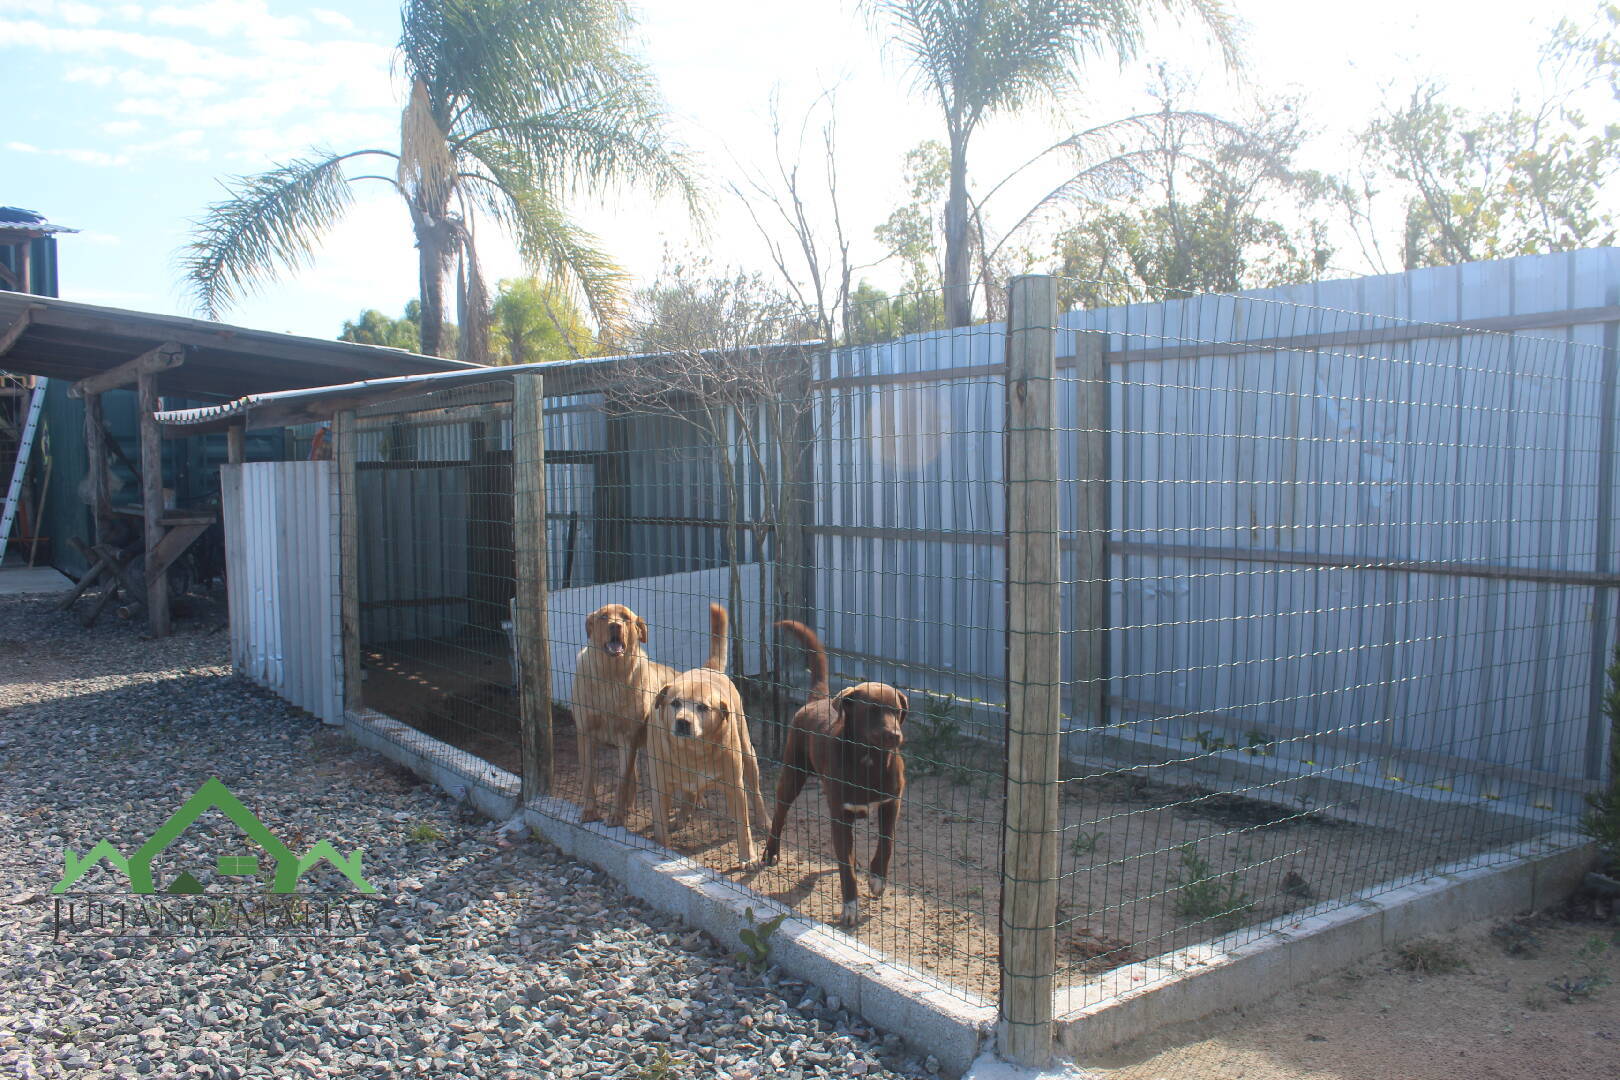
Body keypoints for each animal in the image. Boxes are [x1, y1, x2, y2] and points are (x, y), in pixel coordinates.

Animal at [573, 605, 673, 822]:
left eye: (626, 618)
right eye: (603, 617)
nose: (615, 626)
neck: (611, 677)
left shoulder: (628, 738)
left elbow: (622, 780)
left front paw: (616, 816)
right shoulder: (585, 733)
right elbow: (588, 778)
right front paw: (590, 811)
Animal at [648, 605, 767, 867]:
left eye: (702, 707)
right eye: (675, 703)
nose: (683, 722)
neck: (693, 752)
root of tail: (709, 668)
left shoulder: (735, 786)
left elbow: (743, 827)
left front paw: (748, 857)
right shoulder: (660, 787)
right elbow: (660, 826)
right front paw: (663, 849)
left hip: (748, 753)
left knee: (756, 791)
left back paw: (764, 820)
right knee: (689, 793)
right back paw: (685, 812)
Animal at [761, 625, 907, 932]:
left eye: (897, 711)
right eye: (873, 710)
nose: (895, 736)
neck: (868, 759)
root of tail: (818, 700)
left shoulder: (891, 802)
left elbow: (886, 842)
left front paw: (877, 878)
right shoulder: (840, 815)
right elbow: (844, 867)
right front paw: (850, 908)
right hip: (792, 775)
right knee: (779, 814)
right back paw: (771, 851)